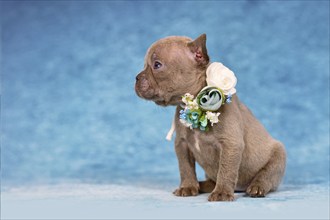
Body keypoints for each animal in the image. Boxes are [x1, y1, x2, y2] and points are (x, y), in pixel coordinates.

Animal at [135, 34, 286, 201]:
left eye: (157, 65)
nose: (136, 78)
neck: (193, 105)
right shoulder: (182, 144)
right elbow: (185, 167)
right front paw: (188, 187)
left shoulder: (230, 145)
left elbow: (226, 170)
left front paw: (222, 193)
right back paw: (201, 185)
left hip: (278, 157)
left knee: (266, 176)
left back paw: (257, 187)